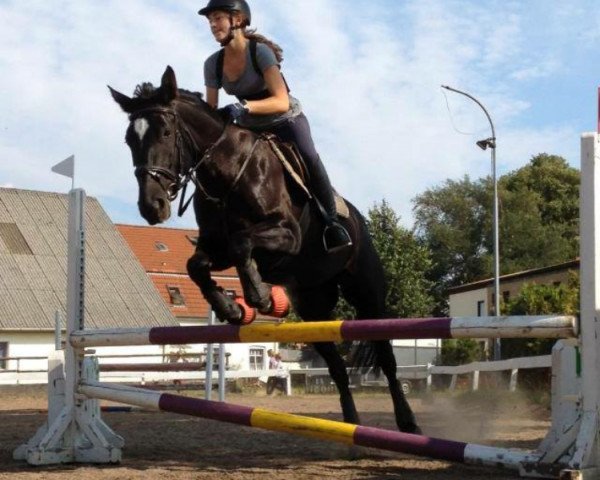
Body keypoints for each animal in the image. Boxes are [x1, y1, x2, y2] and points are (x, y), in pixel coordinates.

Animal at [108, 65, 418, 434]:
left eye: (167, 132)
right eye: (129, 139)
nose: (151, 207)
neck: (227, 172)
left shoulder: (286, 235)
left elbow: (243, 244)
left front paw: (259, 297)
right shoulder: (216, 247)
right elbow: (197, 265)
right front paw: (232, 308)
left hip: (367, 293)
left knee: (386, 358)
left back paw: (408, 423)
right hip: (313, 305)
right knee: (336, 366)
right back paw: (350, 425)